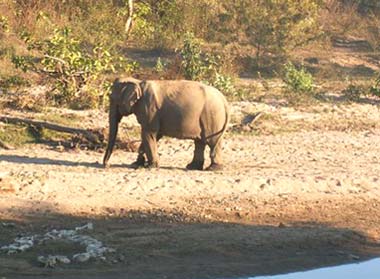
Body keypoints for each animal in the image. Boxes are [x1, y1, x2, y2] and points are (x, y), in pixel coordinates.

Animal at [101, 77, 229, 172]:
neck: (138, 82)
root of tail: (223, 99)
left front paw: (151, 166)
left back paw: (213, 168)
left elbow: (149, 134)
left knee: (211, 142)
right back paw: (192, 167)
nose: (106, 165)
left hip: (212, 116)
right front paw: (137, 164)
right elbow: (154, 135)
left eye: (111, 98)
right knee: (200, 142)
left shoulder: (150, 109)